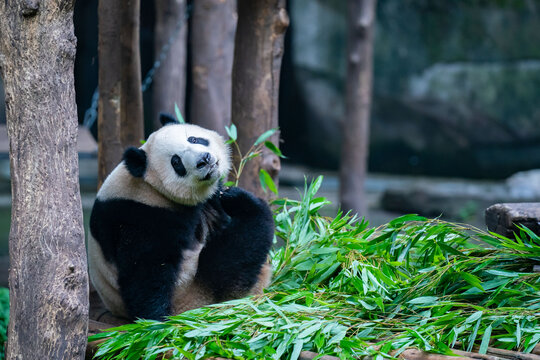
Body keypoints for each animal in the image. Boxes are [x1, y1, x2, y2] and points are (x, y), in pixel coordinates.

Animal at [89, 115, 274, 320]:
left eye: (194, 139)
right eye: (176, 162)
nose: (204, 160)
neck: (149, 187)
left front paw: (226, 194)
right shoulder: (141, 217)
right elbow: (146, 270)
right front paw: (155, 318)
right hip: (196, 291)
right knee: (240, 248)